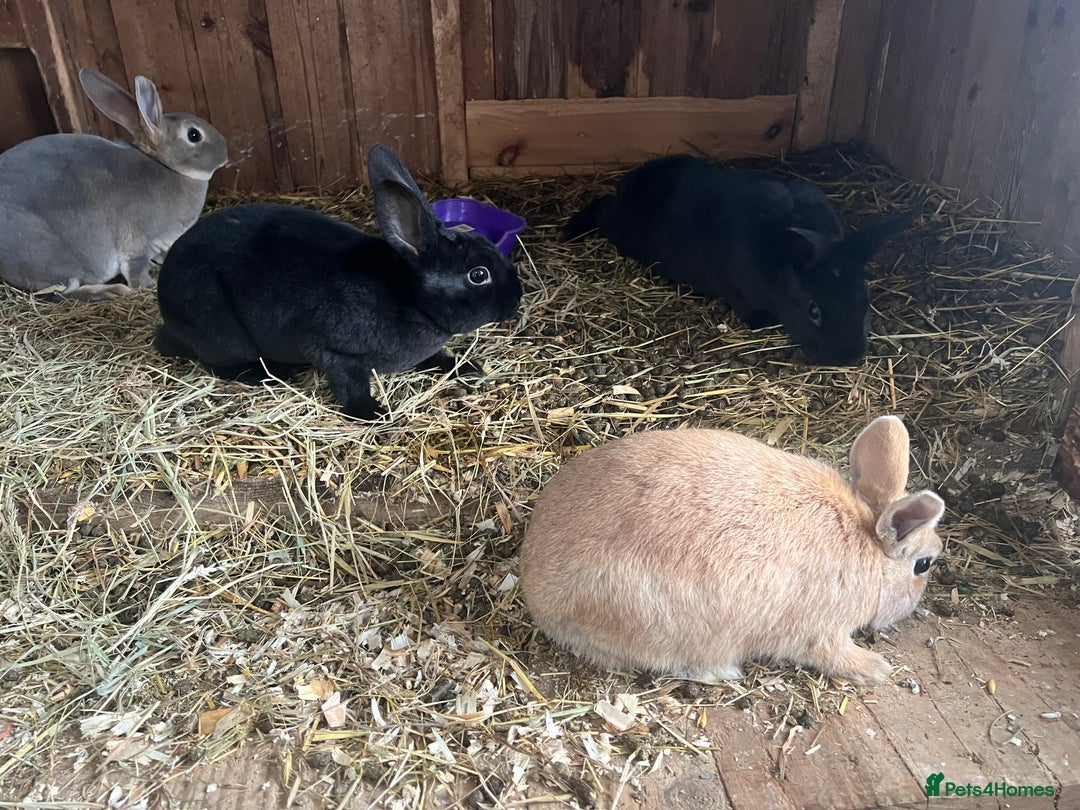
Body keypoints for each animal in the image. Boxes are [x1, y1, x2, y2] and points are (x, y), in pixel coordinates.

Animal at [0, 68, 228, 301]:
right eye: (194, 135)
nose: (225, 154)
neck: (169, 169)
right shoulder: (138, 244)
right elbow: (136, 270)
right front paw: (148, 285)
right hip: (56, 260)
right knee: (65, 292)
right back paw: (114, 290)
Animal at [154, 144, 522, 420]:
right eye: (478, 275)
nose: (516, 298)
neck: (410, 298)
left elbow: (434, 358)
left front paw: (466, 367)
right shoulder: (331, 350)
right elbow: (350, 383)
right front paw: (372, 413)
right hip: (223, 335)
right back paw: (272, 374)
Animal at [518, 415, 946, 684]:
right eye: (923, 565)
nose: (915, 606)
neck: (867, 543)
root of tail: (534, 590)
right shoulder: (820, 632)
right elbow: (833, 654)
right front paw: (877, 670)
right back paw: (720, 672)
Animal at [564, 154, 909, 366]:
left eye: (865, 300)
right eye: (814, 311)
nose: (849, 357)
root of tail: (634, 180)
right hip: (622, 228)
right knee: (602, 207)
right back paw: (570, 231)